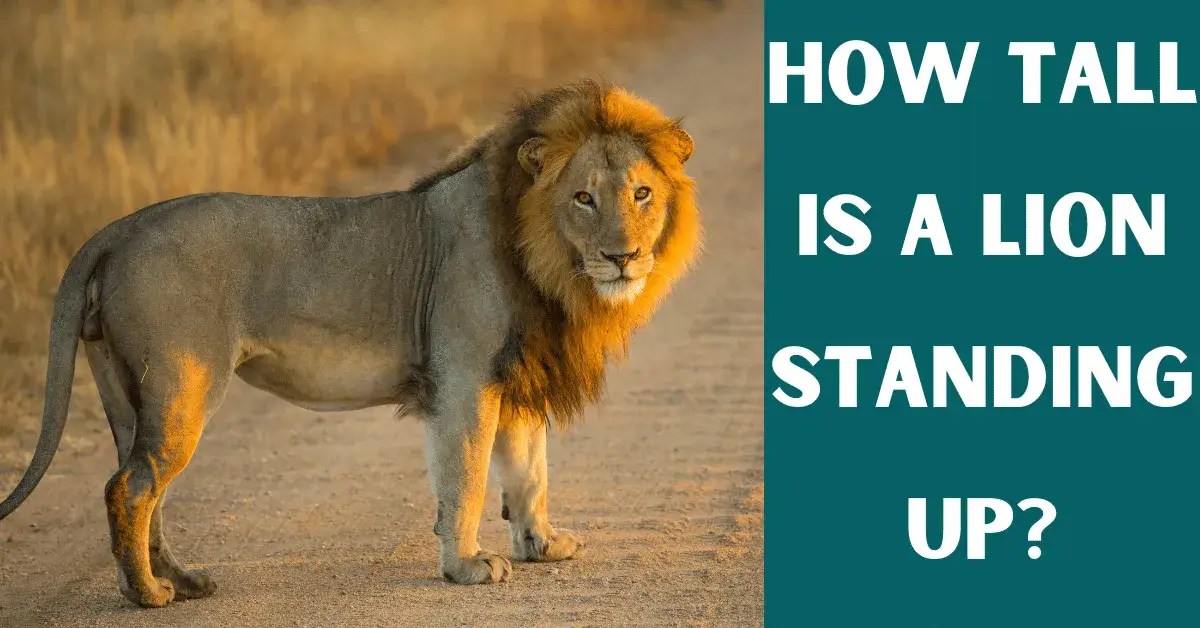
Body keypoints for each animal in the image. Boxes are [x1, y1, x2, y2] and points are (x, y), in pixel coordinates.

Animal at [0, 79, 700, 608]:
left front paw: (544, 546)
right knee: (131, 489)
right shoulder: (465, 377)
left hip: (129, 394)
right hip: (182, 385)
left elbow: (530, 472)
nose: (624, 257)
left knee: (144, 488)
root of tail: (119, 228)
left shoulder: (520, 373)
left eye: (642, 193)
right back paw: (147, 595)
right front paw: (467, 566)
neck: (547, 262)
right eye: (584, 198)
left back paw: (179, 581)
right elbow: (468, 475)